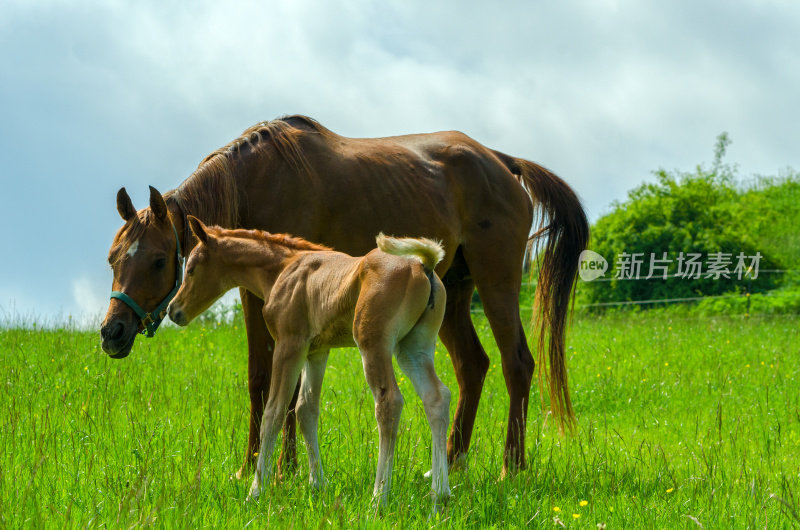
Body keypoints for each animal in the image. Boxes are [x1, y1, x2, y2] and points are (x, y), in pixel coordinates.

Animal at [168, 218, 450, 508]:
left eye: (191, 268)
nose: (173, 310)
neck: (283, 269)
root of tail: (423, 265)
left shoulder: (289, 345)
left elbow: (274, 411)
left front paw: (256, 490)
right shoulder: (317, 352)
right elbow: (306, 410)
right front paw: (318, 485)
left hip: (373, 345)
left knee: (389, 402)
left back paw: (379, 497)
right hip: (413, 349)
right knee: (436, 397)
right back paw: (439, 492)